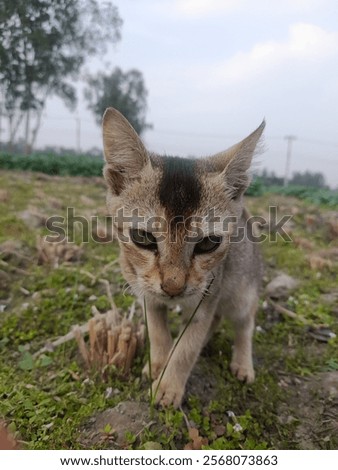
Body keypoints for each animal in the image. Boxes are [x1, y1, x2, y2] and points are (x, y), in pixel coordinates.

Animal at [101, 107, 266, 408]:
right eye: (142, 237)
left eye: (208, 243)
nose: (173, 287)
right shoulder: (147, 293)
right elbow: (157, 330)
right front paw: (158, 363)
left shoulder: (206, 298)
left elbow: (187, 348)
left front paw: (168, 387)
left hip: (240, 292)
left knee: (245, 322)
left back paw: (243, 363)